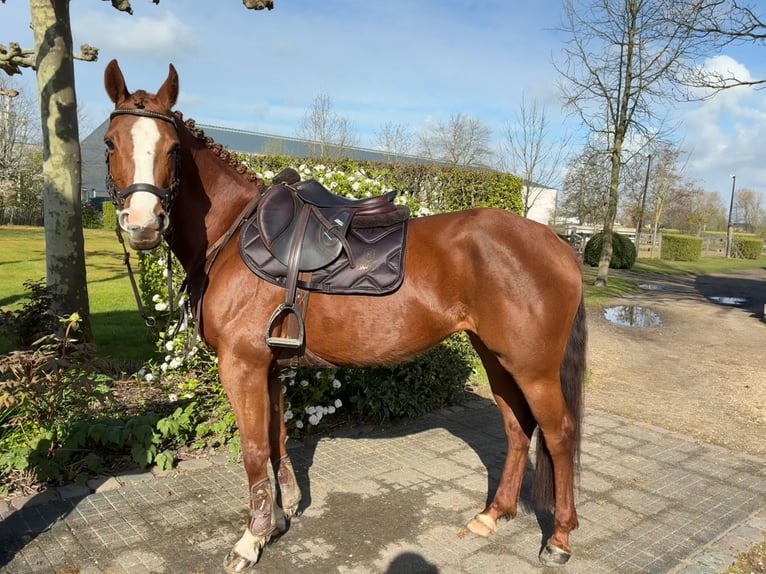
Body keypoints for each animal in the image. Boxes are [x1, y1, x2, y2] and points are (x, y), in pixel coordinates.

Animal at [102, 59, 587, 571]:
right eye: (111, 143)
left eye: (174, 150)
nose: (143, 225)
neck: (233, 233)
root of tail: (558, 244)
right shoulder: (270, 368)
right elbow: (276, 440)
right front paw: (283, 514)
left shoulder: (242, 365)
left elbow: (253, 450)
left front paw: (251, 539)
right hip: (497, 358)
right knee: (517, 427)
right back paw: (493, 514)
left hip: (533, 368)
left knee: (559, 434)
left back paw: (558, 539)